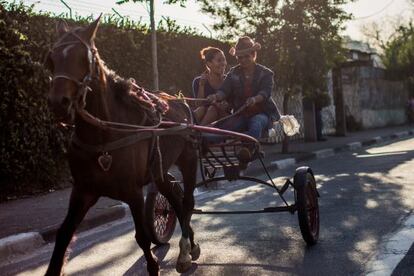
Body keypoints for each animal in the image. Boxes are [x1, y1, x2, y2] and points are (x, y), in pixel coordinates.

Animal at [45, 16, 199, 274]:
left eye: (83, 58)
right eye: (52, 59)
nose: (59, 103)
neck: (103, 136)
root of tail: (180, 101)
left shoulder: (133, 191)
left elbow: (142, 238)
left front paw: (154, 266)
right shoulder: (83, 191)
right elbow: (64, 234)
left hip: (188, 159)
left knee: (187, 202)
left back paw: (186, 249)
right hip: (158, 170)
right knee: (174, 198)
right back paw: (190, 244)